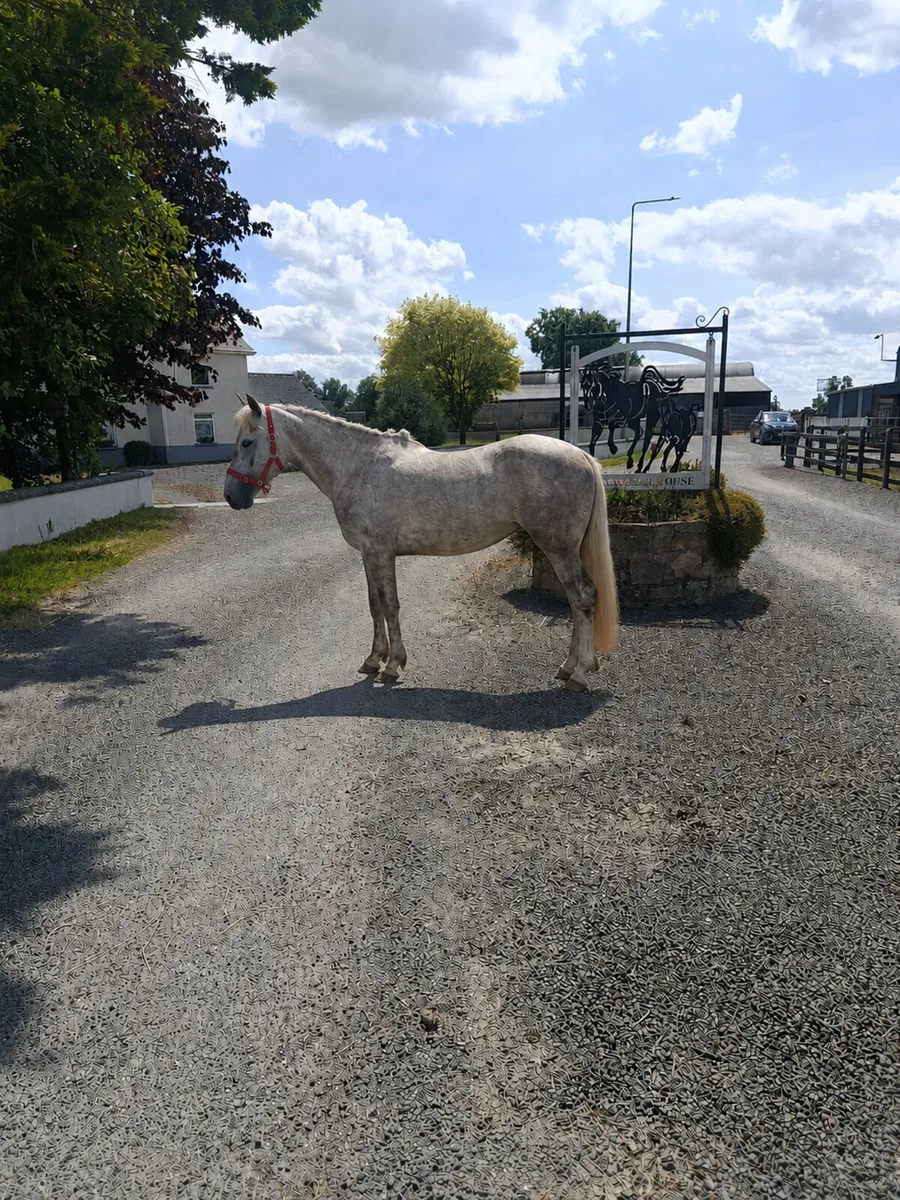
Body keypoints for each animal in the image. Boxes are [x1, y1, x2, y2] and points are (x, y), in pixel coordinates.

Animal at [224, 396, 619, 692]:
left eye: (247, 442)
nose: (230, 496)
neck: (355, 465)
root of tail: (582, 455)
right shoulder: (368, 554)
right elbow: (375, 606)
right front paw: (374, 660)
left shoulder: (382, 552)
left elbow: (391, 605)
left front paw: (393, 666)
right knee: (575, 603)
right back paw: (569, 666)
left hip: (558, 549)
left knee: (583, 598)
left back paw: (579, 673)